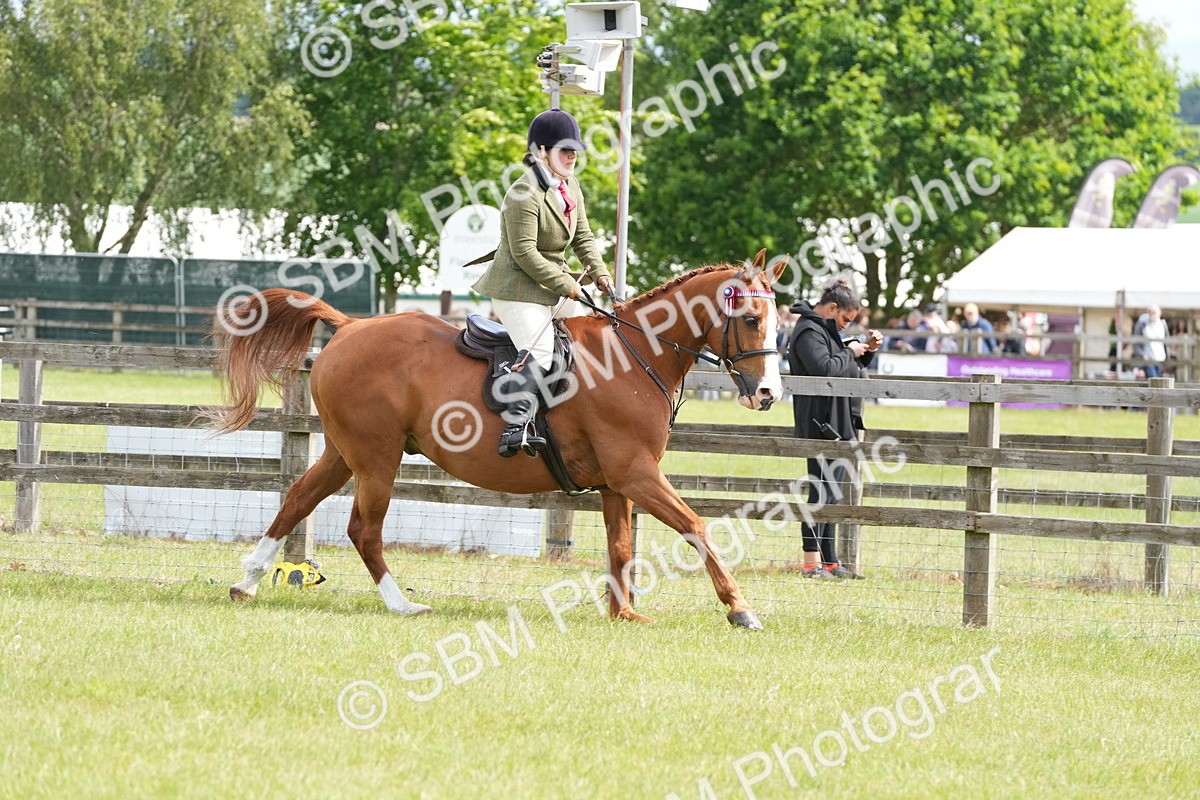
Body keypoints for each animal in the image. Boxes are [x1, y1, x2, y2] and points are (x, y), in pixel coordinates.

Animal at [211, 251, 787, 629]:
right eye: (751, 319)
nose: (768, 394)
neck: (635, 355)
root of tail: (350, 326)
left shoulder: (617, 483)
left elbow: (621, 545)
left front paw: (623, 612)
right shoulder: (636, 473)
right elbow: (697, 527)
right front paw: (740, 608)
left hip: (344, 453)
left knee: (296, 499)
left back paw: (247, 582)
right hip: (377, 457)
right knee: (363, 530)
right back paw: (402, 605)